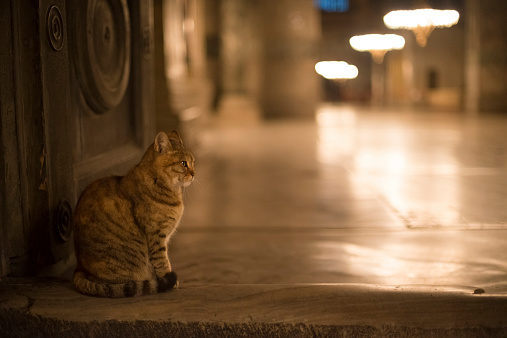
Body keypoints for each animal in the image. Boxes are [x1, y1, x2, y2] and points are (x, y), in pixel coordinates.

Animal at [72, 131, 195, 298]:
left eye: (193, 162)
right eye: (183, 163)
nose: (194, 174)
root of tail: (78, 268)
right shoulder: (157, 234)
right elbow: (162, 261)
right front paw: (169, 279)